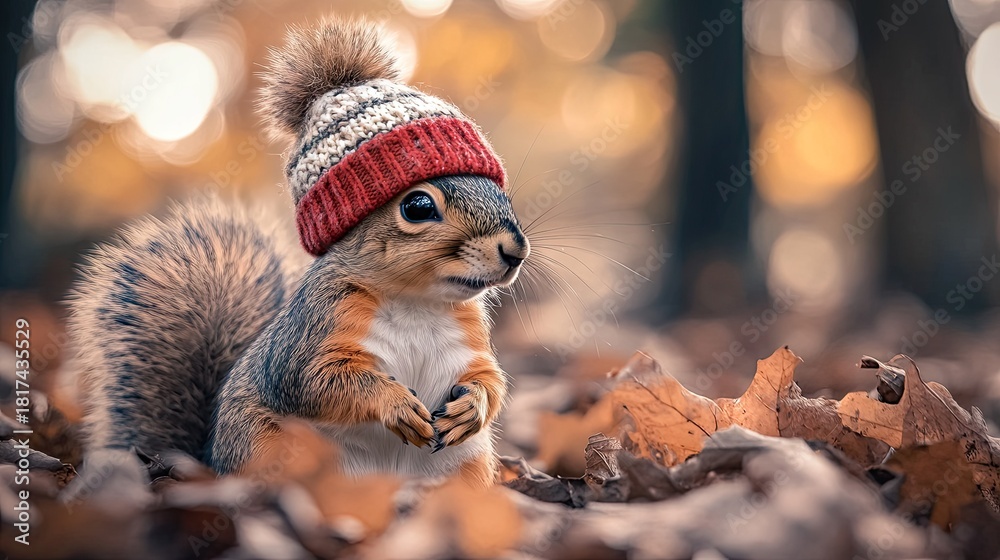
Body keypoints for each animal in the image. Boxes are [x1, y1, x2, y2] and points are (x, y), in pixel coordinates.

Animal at [66, 18, 529, 488]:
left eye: (500, 191)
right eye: (417, 206)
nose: (515, 250)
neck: (418, 304)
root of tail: (208, 462)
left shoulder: (471, 342)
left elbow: (490, 380)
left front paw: (471, 406)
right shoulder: (315, 328)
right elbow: (315, 381)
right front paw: (394, 403)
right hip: (266, 447)